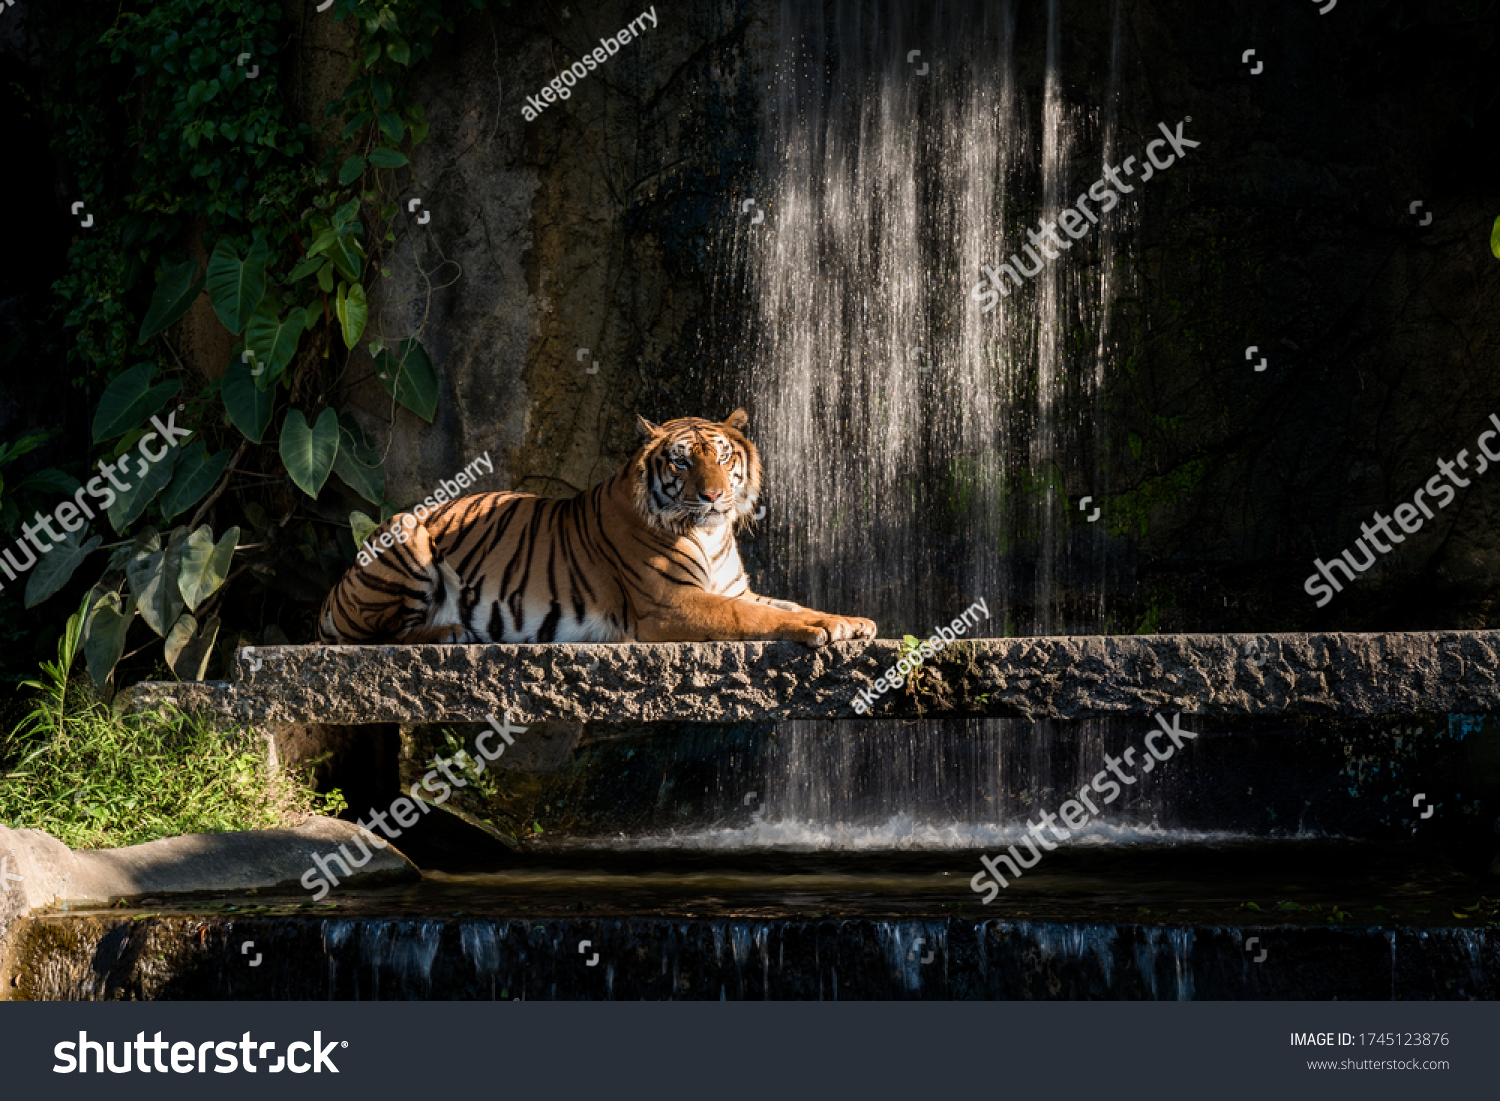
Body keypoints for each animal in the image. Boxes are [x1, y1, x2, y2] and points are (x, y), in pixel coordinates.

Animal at [316, 411, 876, 651]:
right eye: (681, 461)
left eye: (721, 458)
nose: (714, 497)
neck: (711, 534)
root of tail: (331, 595)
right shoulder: (671, 604)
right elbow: (754, 618)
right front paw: (825, 629)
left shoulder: (734, 588)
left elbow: (788, 605)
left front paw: (852, 621)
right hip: (405, 536)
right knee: (371, 635)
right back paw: (449, 631)